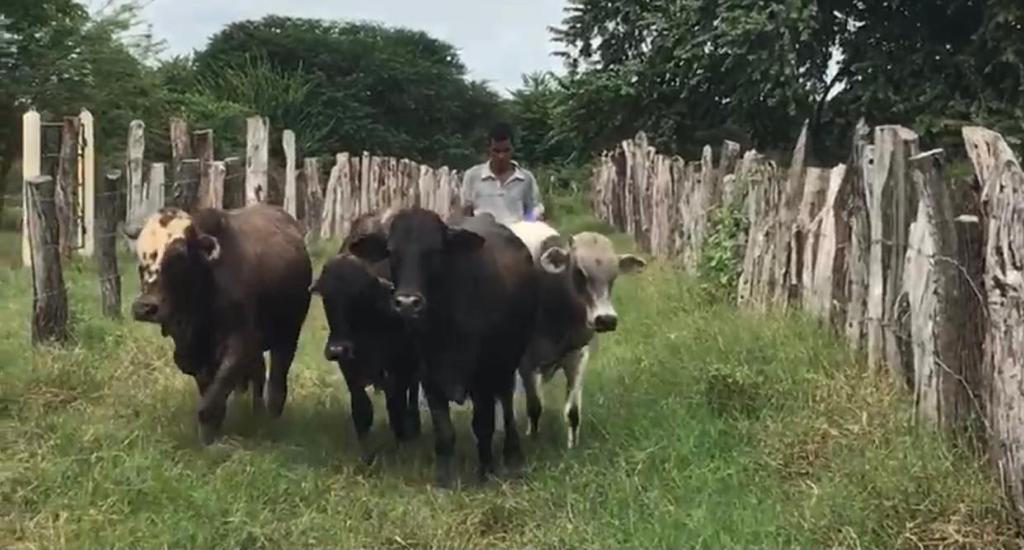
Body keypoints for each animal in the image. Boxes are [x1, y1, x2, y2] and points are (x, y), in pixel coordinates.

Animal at [123, 203, 309, 444]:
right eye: (140, 255)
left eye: (179, 255)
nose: (146, 307)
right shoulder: (194, 354)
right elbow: (210, 390)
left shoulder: (238, 347)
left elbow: (212, 397)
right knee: (258, 375)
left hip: (288, 335)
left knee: (277, 380)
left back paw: (271, 417)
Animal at [307, 212, 419, 460]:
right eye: (326, 295)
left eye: (360, 292)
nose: (337, 348)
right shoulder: (349, 365)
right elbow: (362, 408)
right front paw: (365, 452)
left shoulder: (400, 363)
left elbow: (396, 405)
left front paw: (402, 445)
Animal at [348, 207, 540, 487]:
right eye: (392, 252)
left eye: (435, 251)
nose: (408, 302)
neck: (445, 325)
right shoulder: (430, 378)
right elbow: (444, 432)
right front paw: (444, 478)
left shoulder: (482, 377)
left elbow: (483, 425)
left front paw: (486, 471)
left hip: (508, 363)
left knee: (506, 404)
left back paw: (512, 453)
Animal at [505, 221, 647, 448]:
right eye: (580, 272)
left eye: (614, 276)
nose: (606, 319)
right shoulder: (526, 362)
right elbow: (534, 406)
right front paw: (533, 439)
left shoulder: (578, 355)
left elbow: (572, 411)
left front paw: (572, 447)